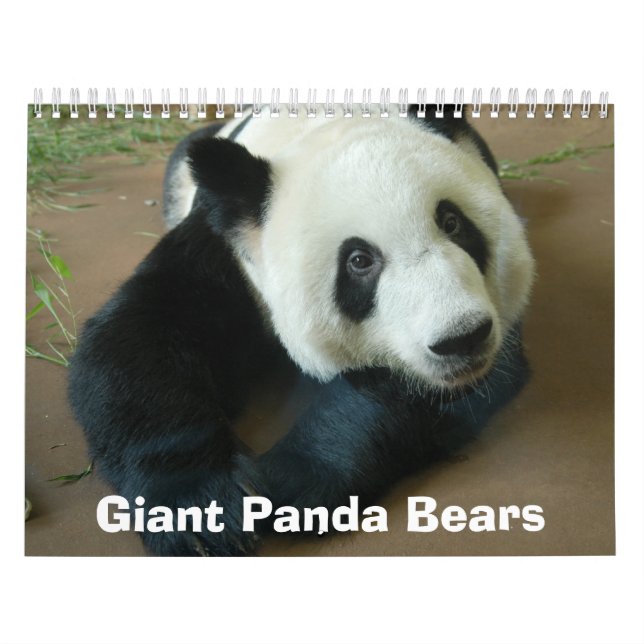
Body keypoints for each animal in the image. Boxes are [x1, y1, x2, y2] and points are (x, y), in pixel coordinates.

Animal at [68, 104, 535, 556]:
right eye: (359, 261)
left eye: (453, 222)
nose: (462, 337)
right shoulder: (226, 242)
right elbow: (139, 334)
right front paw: (201, 512)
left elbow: (409, 389)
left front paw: (293, 481)